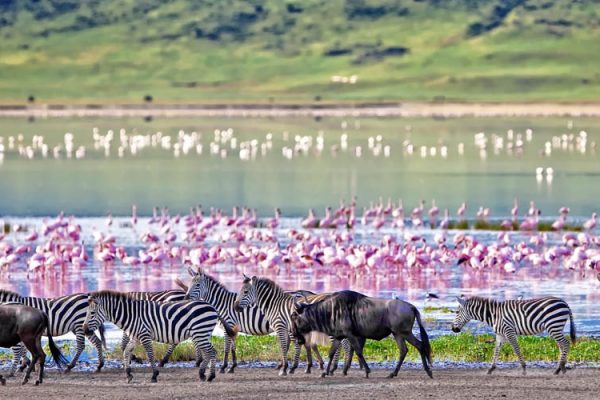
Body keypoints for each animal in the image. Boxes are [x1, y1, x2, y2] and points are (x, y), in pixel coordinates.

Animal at [82, 290, 225, 382]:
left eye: (92, 313)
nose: (84, 330)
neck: (131, 315)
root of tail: (211, 307)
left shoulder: (145, 335)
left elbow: (150, 355)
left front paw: (154, 375)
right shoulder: (135, 337)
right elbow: (126, 352)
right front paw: (128, 374)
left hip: (200, 333)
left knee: (212, 352)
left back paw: (210, 376)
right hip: (201, 334)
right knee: (208, 352)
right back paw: (202, 374)